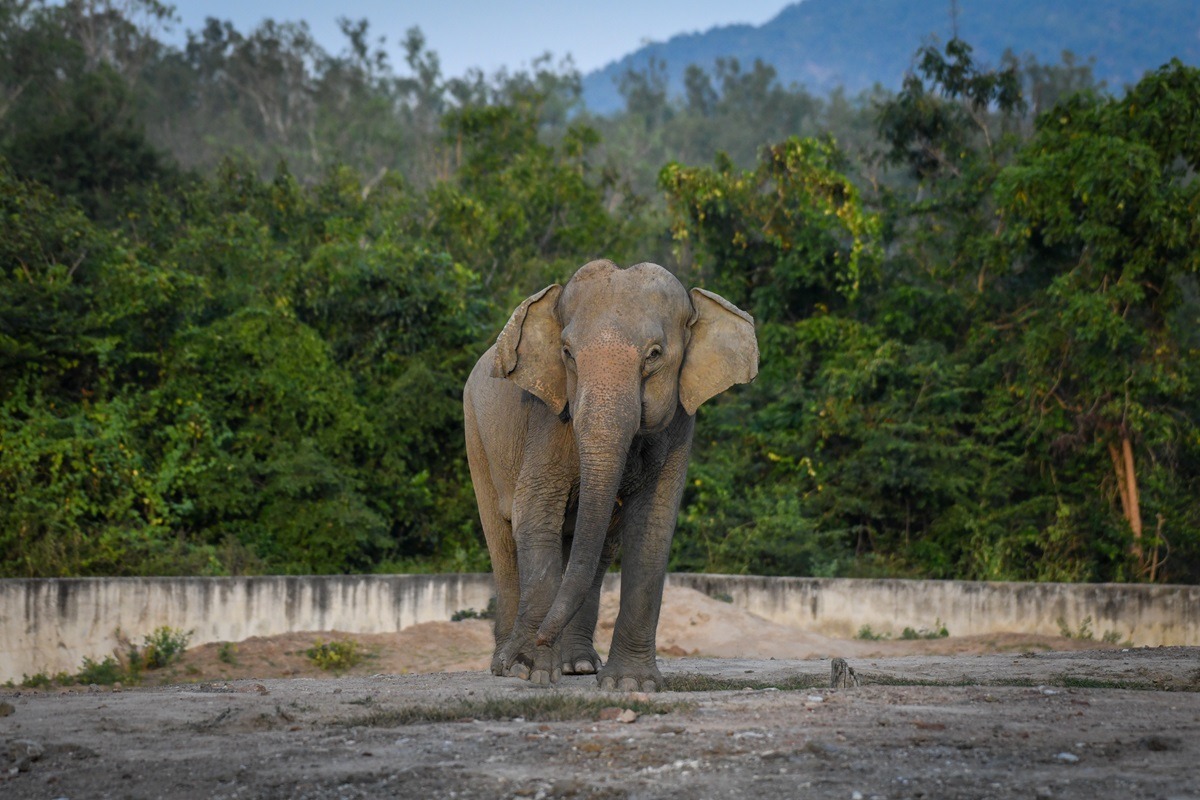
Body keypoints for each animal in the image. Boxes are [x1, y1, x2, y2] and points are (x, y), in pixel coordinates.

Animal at [460, 260, 753, 690]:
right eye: (567, 353)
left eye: (654, 354)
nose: (540, 638)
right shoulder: (548, 417)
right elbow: (535, 516)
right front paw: (531, 671)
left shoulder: (681, 424)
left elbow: (651, 528)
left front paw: (631, 686)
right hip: (476, 434)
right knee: (500, 534)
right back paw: (507, 666)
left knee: (598, 549)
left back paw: (577, 666)